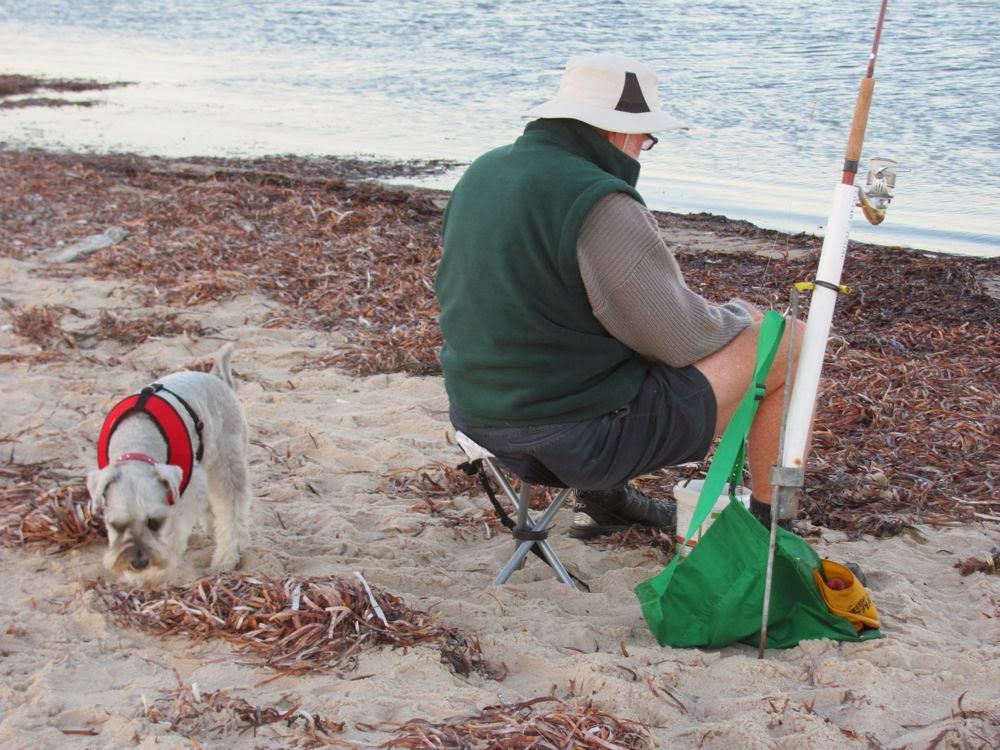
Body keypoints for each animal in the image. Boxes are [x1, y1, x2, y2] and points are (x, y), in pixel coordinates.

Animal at [87, 344, 251, 585]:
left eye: (155, 522)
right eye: (116, 525)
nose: (138, 563)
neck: (137, 444)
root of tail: (217, 377)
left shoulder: (186, 497)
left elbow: (173, 536)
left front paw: (152, 576)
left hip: (227, 462)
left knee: (231, 508)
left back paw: (225, 557)